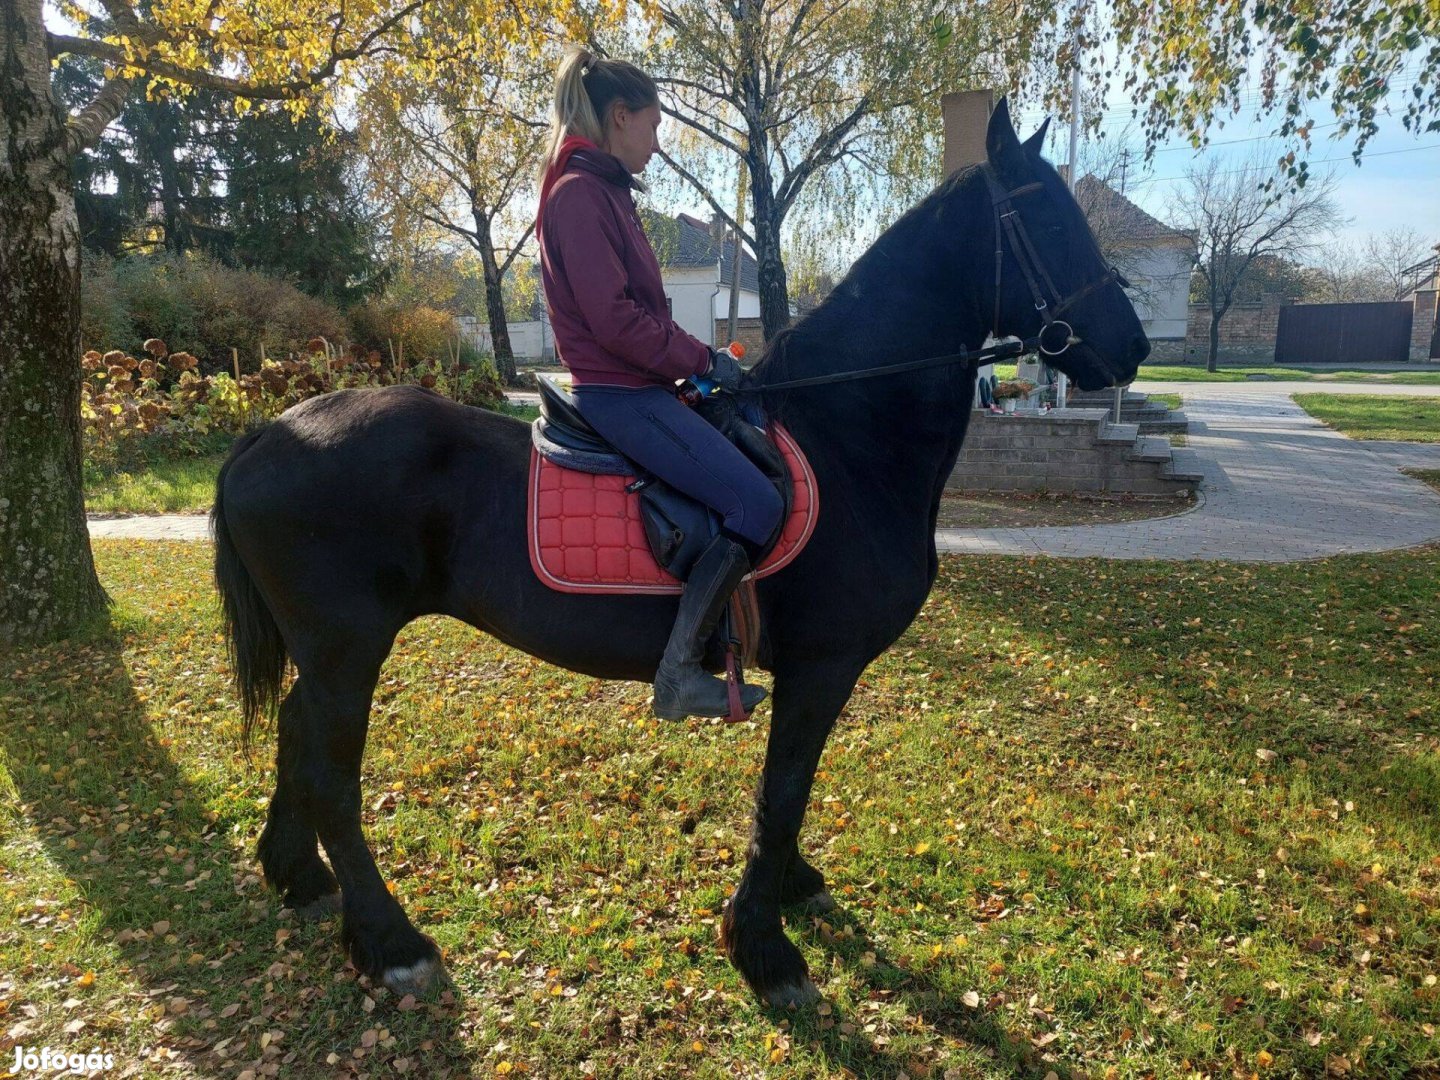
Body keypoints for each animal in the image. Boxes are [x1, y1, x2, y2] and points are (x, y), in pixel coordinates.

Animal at [213, 99, 1146, 1008]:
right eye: (1049, 219)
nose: (1133, 347)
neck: (846, 434)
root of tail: (267, 430)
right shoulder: (822, 667)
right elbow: (784, 790)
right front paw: (765, 946)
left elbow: (790, 793)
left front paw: (790, 891)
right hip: (348, 650)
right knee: (334, 780)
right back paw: (390, 944)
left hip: (329, 654)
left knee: (296, 735)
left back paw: (295, 875)